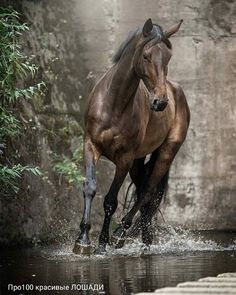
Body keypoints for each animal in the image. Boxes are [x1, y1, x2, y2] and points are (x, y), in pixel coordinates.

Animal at [73, 17, 190, 256]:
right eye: (146, 56)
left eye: (168, 57)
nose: (160, 102)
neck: (114, 104)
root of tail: (176, 91)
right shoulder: (90, 146)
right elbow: (90, 188)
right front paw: (82, 241)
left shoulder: (124, 159)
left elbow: (110, 200)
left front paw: (102, 244)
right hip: (137, 161)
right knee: (144, 197)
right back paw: (145, 241)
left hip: (166, 153)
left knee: (146, 192)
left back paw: (120, 234)